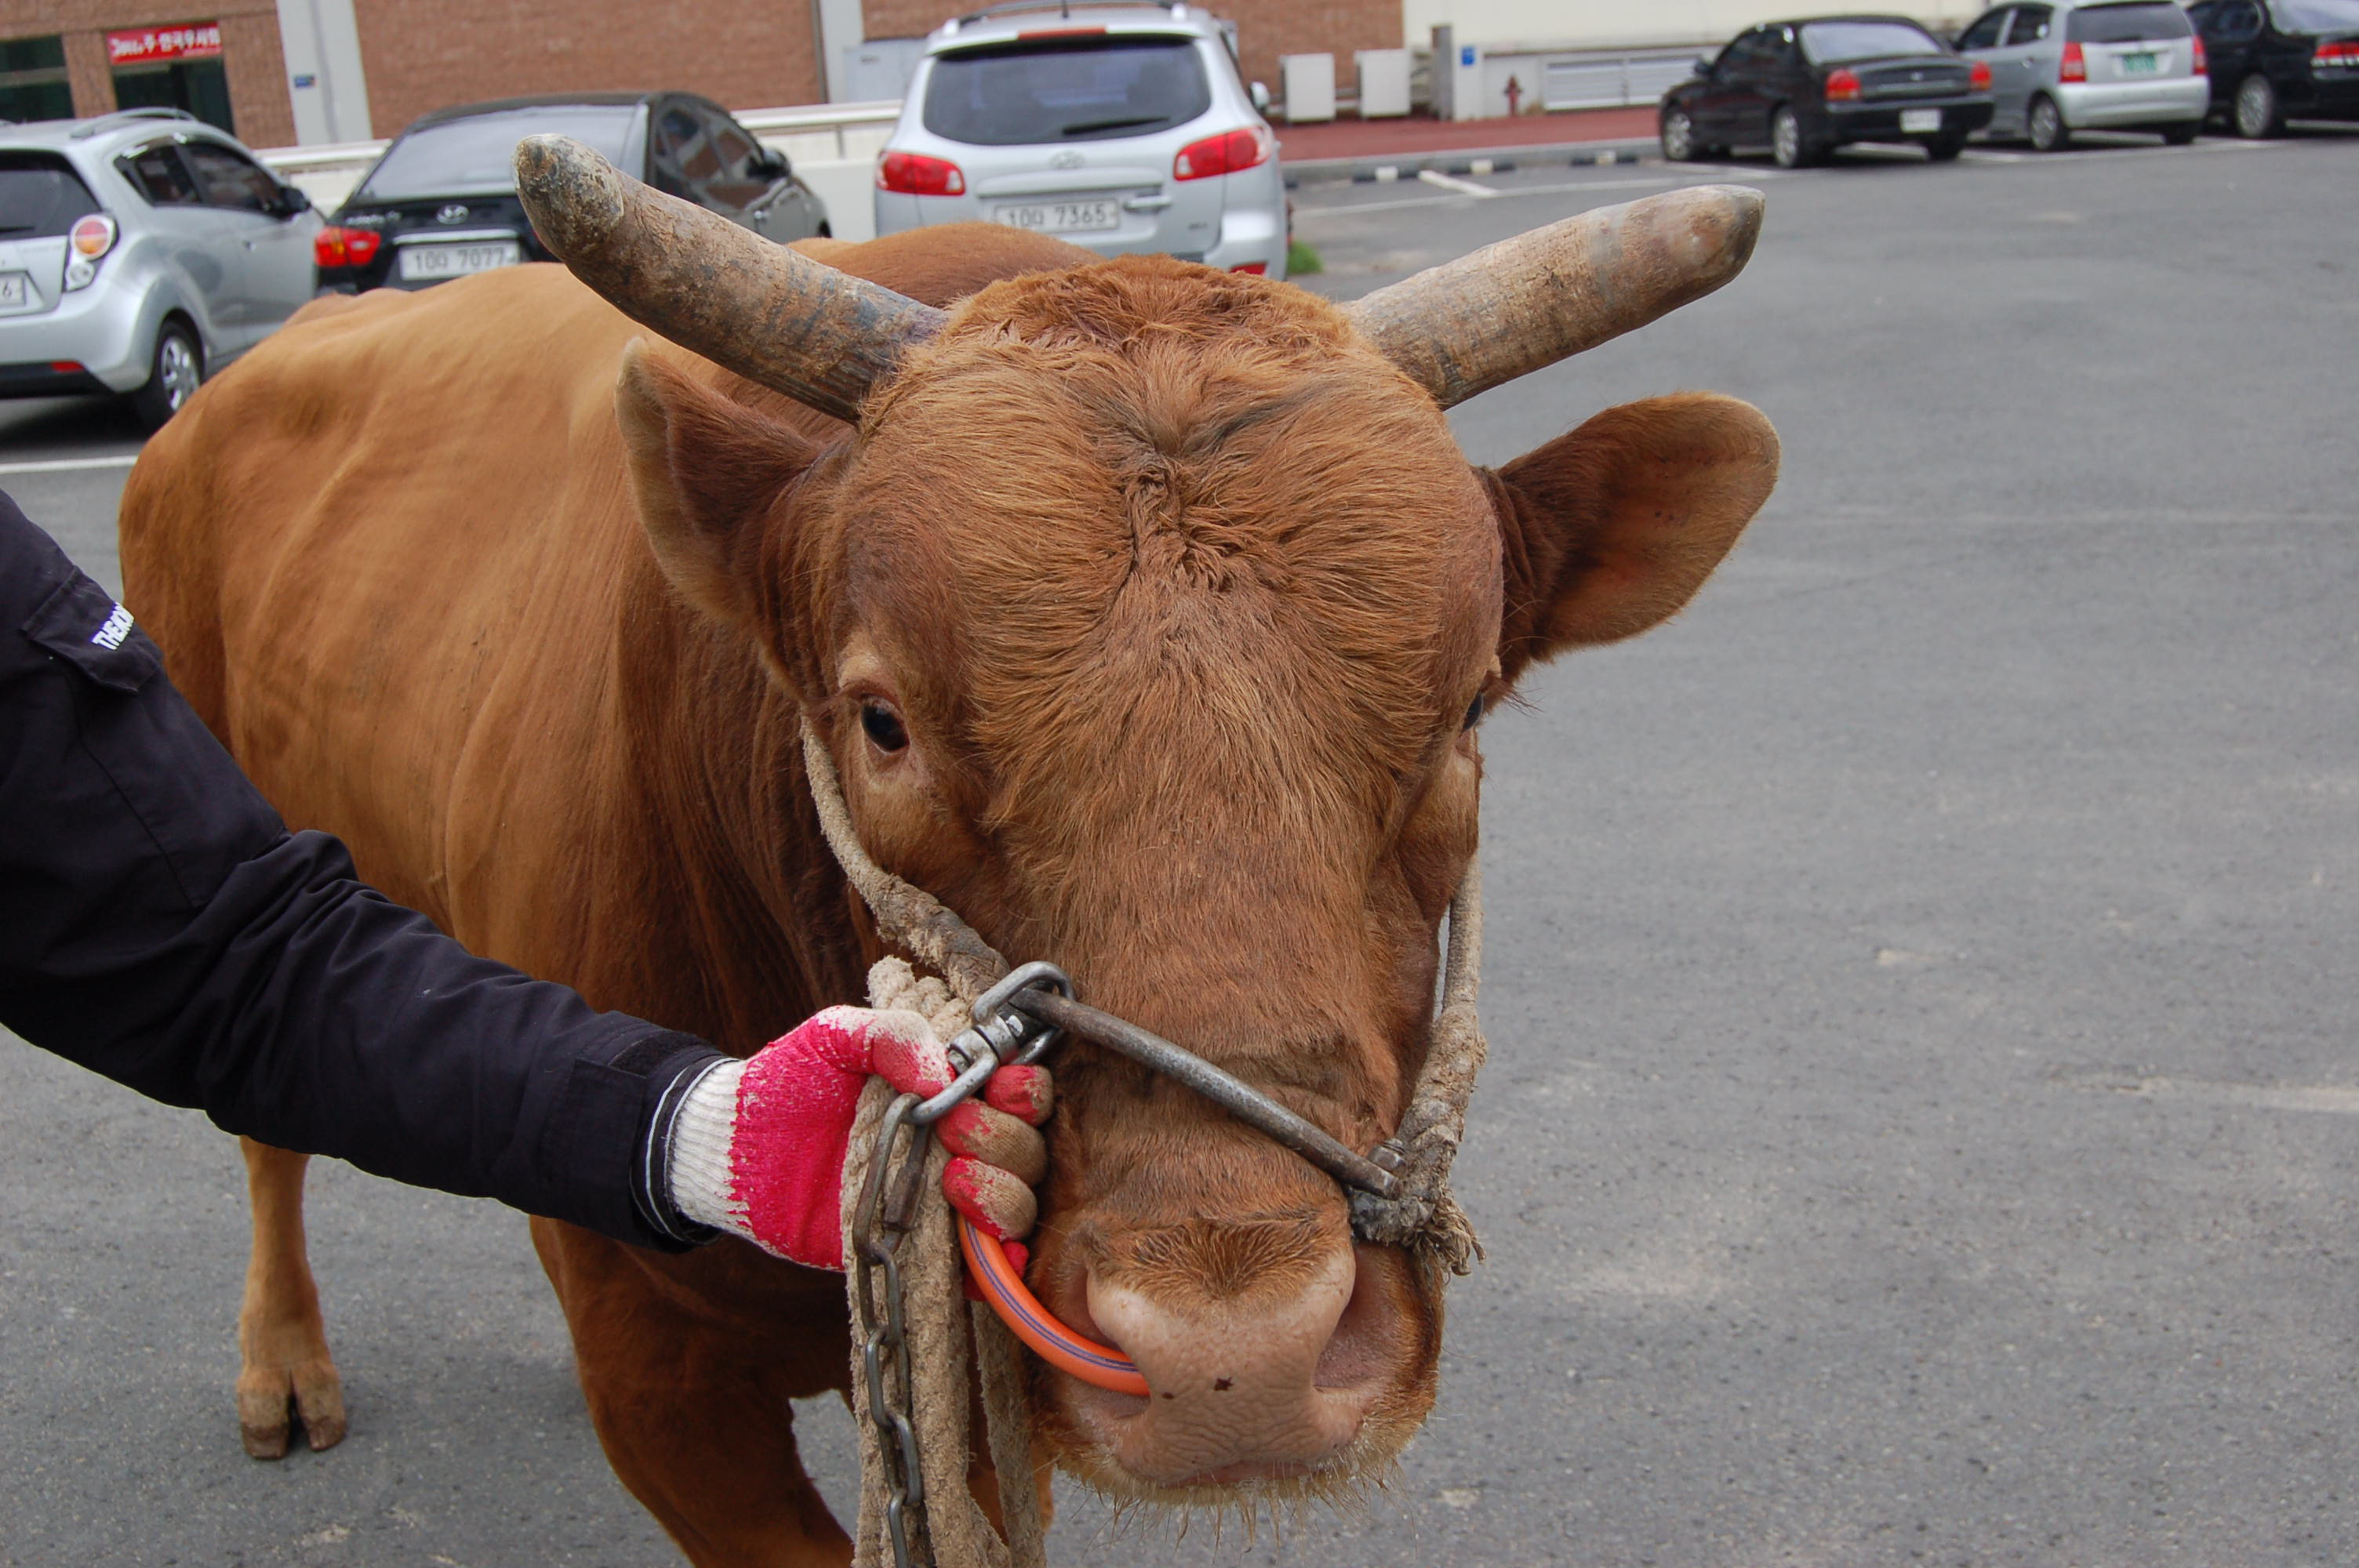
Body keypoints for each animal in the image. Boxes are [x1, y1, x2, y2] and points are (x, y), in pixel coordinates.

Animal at [111, 140, 1774, 1555]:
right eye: (880, 721)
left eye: (1463, 712)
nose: (1235, 1356)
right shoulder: (665, 1389)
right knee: (263, 1125)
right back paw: (281, 1363)